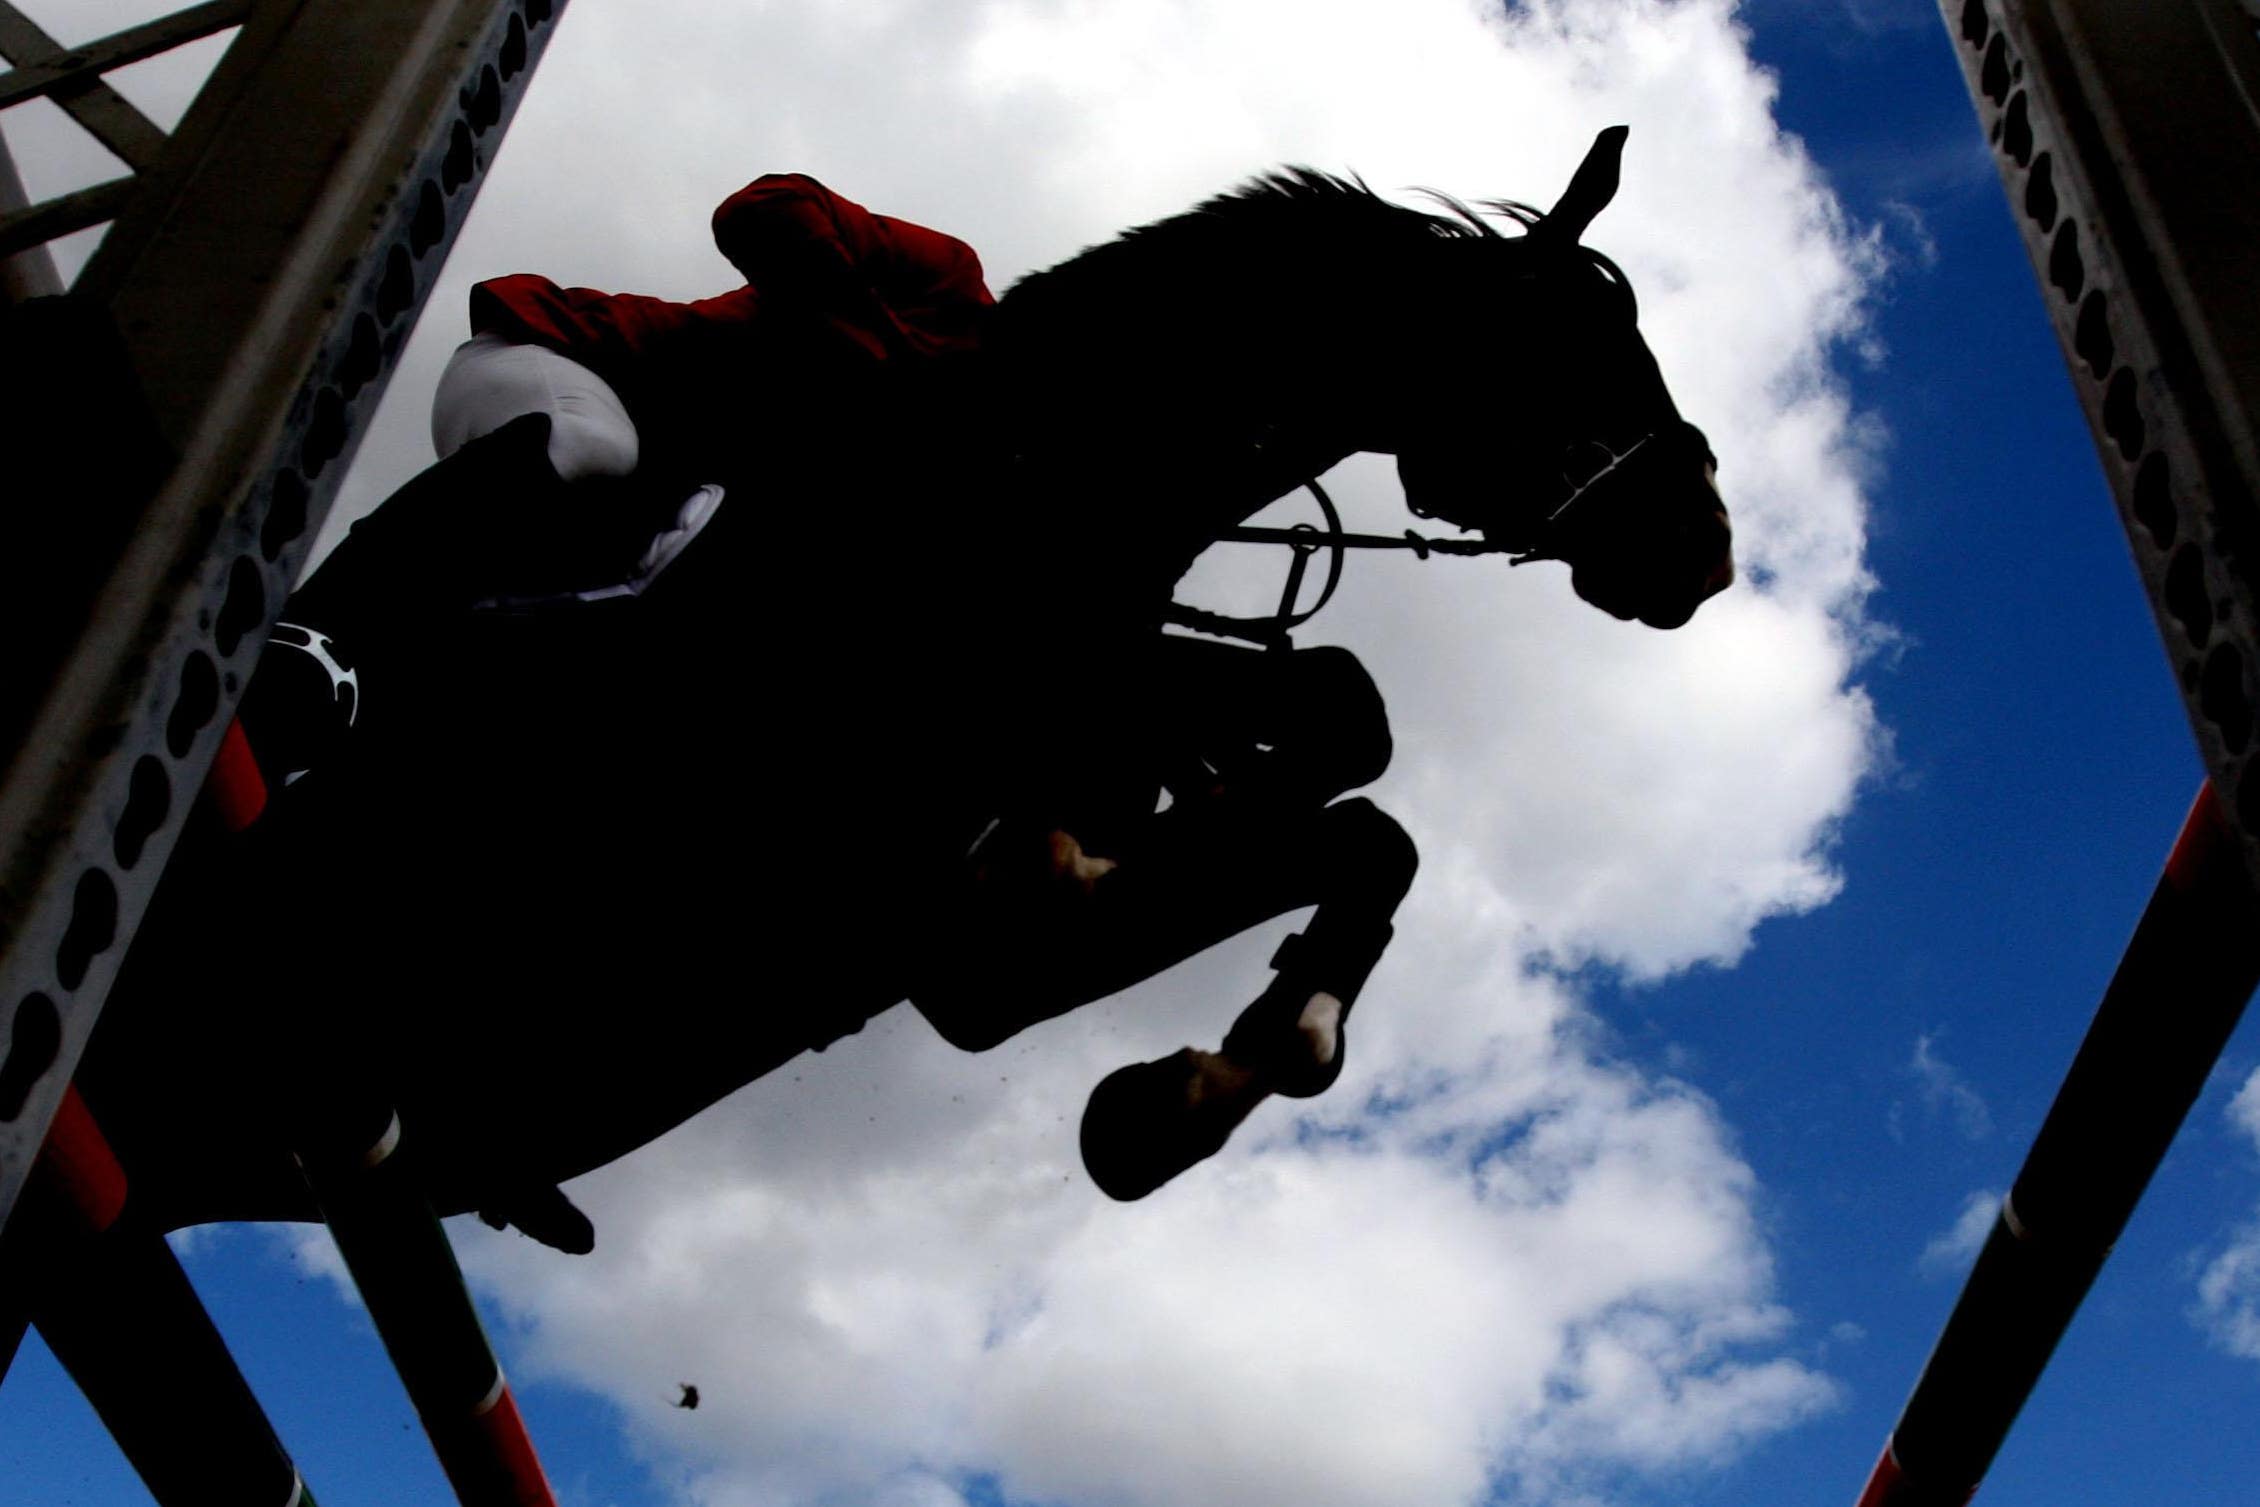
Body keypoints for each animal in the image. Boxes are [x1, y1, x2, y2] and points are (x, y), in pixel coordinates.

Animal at [75, 126, 1726, 1238]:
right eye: (1572, 347)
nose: (1703, 547)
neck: (1013, 506)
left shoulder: (977, 934)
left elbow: (1350, 759)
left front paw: (1179, 1087)